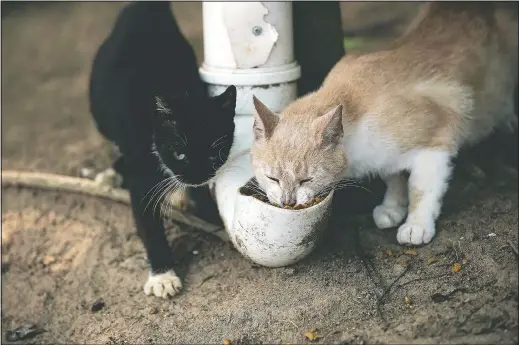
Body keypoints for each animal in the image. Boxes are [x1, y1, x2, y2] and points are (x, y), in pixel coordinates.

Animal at [88, 1, 237, 296]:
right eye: (179, 153)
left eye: (214, 153)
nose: (196, 176)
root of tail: (144, 7)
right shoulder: (139, 168)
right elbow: (148, 224)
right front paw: (162, 276)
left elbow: (201, 193)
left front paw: (212, 217)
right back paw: (111, 175)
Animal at [251, 2, 516, 245]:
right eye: (272, 178)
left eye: (306, 180)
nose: (288, 202)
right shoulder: (386, 155)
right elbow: (393, 177)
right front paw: (392, 208)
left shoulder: (436, 145)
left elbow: (420, 189)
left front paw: (416, 225)